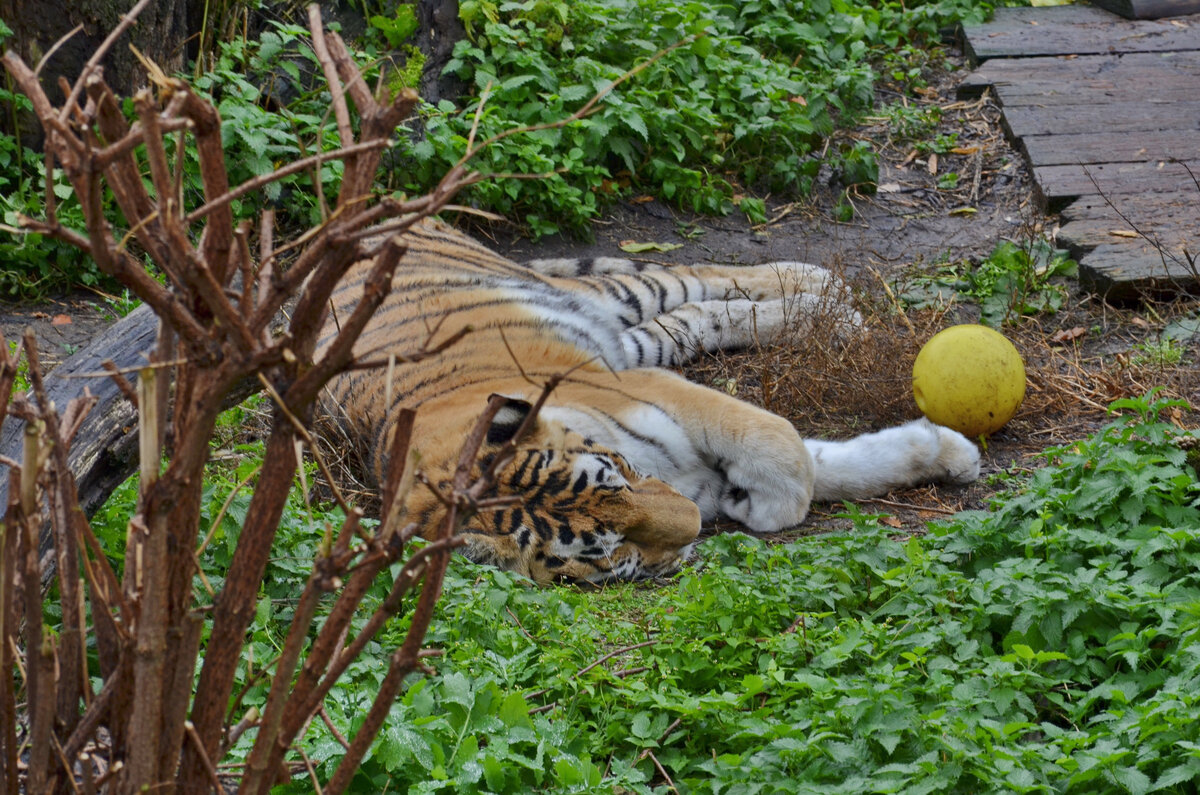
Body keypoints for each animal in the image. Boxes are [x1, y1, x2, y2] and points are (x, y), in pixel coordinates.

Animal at [314, 220, 979, 588]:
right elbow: (822, 463)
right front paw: (948, 452)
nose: (699, 520)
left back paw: (823, 293)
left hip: (610, 306)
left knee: (697, 277)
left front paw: (770, 506)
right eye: (611, 553)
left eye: (620, 477)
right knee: (695, 317)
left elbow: (782, 443)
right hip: (634, 338)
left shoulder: (650, 389)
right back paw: (827, 311)